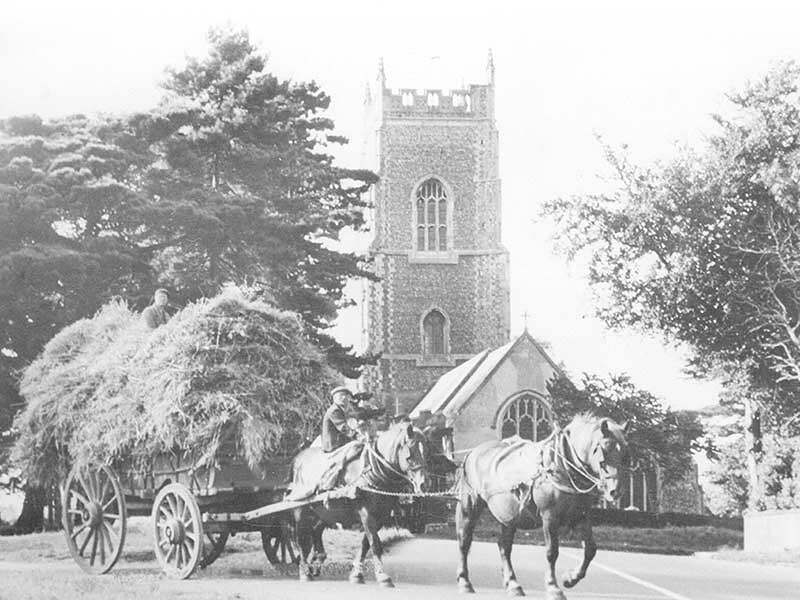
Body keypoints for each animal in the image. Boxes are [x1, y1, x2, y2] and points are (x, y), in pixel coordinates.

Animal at [290, 422, 428, 584]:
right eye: (409, 456)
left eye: (425, 453)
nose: (424, 484)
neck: (372, 470)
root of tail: (297, 458)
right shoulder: (366, 514)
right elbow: (375, 544)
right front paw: (382, 576)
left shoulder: (381, 516)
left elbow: (365, 544)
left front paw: (357, 574)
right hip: (301, 510)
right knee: (301, 539)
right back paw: (305, 572)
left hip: (323, 513)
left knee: (316, 531)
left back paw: (316, 562)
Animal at [454, 414, 628, 596]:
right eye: (604, 451)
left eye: (625, 454)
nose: (615, 491)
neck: (562, 467)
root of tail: (473, 452)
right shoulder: (549, 516)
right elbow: (552, 551)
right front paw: (553, 586)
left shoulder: (581, 516)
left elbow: (590, 549)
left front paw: (570, 579)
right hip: (469, 506)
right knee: (464, 541)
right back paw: (465, 581)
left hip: (509, 515)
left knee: (504, 546)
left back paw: (513, 584)